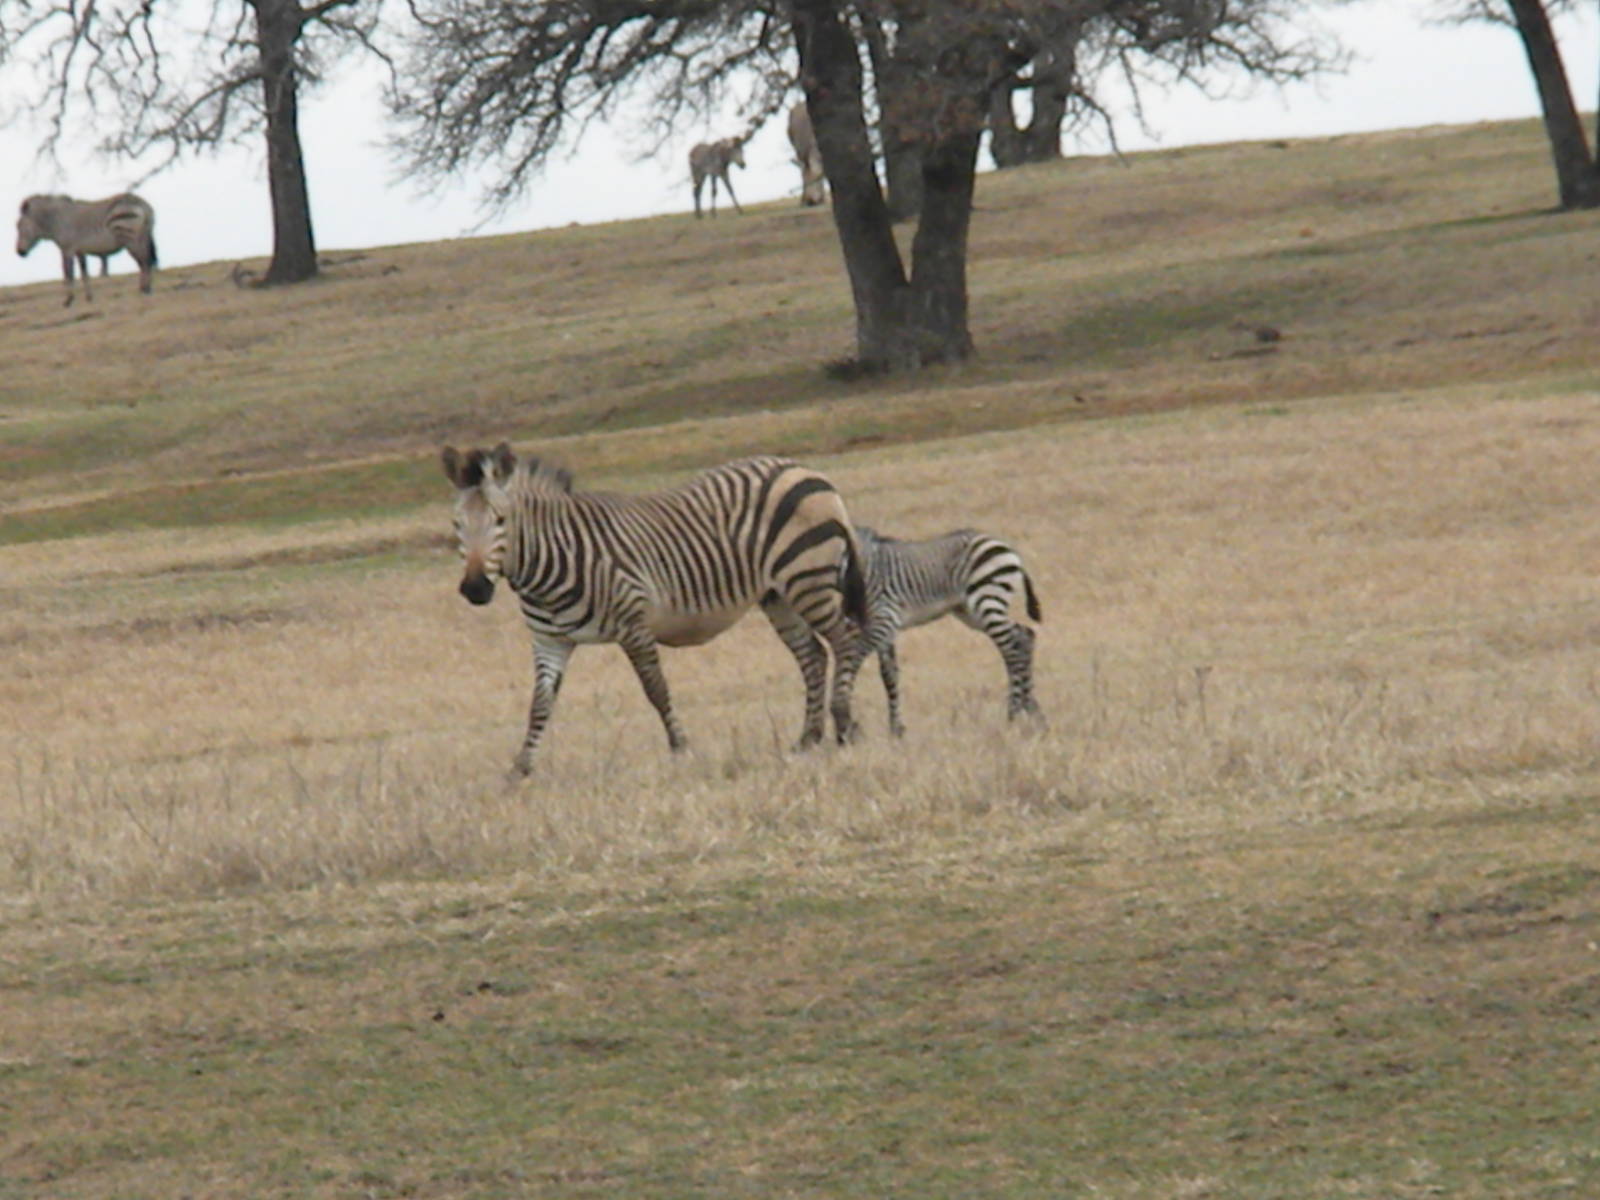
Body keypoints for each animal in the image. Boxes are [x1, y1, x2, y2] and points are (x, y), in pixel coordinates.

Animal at [15, 193, 158, 307]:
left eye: (19, 226)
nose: (19, 252)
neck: (57, 220)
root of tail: (142, 203)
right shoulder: (80, 251)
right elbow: (84, 273)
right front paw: (89, 297)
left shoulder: (68, 249)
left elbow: (69, 274)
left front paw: (68, 300)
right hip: (142, 237)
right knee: (147, 261)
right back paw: (146, 288)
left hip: (130, 239)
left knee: (144, 262)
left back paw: (144, 290)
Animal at [441, 443, 871, 777]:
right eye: (456, 524)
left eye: (501, 520)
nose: (475, 589)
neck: (549, 565)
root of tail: (800, 467)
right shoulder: (549, 641)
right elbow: (539, 704)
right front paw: (521, 768)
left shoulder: (633, 624)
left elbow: (656, 690)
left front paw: (680, 748)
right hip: (778, 594)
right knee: (812, 654)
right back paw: (807, 739)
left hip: (807, 578)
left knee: (845, 639)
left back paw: (846, 726)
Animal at [855, 525, 1043, 737]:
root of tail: (1008, 548)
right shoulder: (885, 625)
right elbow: (888, 674)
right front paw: (896, 730)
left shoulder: (882, 617)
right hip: (972, 611)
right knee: (1024, 635)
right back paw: (1033, 711)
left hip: (986, 599)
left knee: (1012, 648)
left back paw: (1014, 713)